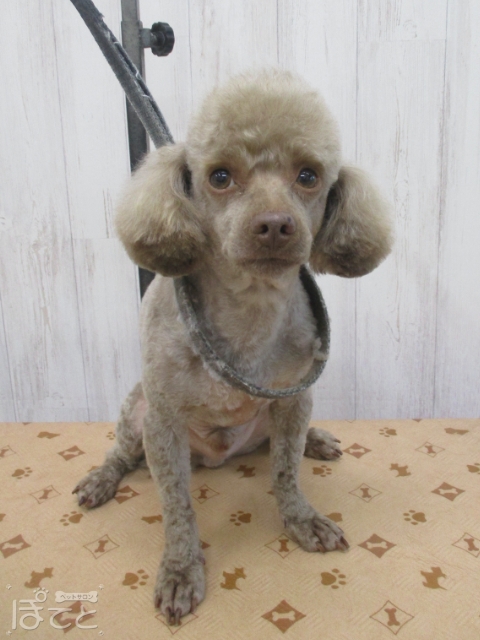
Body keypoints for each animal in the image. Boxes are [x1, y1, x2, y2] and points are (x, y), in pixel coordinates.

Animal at [73, 69, 393, 625]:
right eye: (220, 176)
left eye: (308, 175)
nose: (275, 225)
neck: (250, 309)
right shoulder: (163, 423)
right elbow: (177, 507)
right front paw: (181, 570)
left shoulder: (295, 397)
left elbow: (285, 471)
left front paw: (301, 519)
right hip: (137, 414)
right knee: (122, 453)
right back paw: (101, 479)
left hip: (281, 414)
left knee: (277, 444)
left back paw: (316, 440)